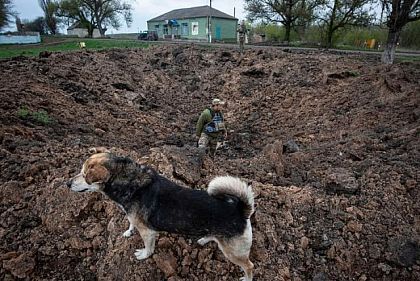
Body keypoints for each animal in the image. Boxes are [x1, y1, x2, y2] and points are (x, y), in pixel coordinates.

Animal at [67, 148, 254, 278]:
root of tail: (241, 210)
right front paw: (128, 232)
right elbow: (130, 222)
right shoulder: (133, 216)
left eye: (84, 175)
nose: (67, 183)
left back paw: (246, 278)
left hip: (234, 251)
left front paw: (143, 255)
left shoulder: (148, 232)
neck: (128, 181)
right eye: (80, 171)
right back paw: (204, 239)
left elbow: (148, 248)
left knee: (249, 266)